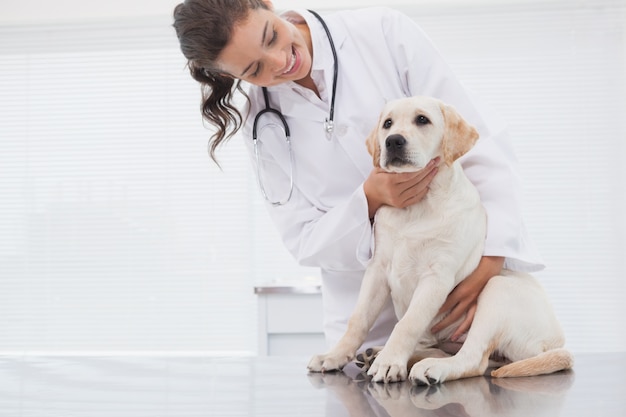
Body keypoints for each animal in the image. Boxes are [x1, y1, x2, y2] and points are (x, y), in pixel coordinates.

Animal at [308, 95, 572, 384]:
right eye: (388, 123)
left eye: (422, 119)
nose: (393, 141)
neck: (416, 208)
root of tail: (555, 344)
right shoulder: (377, 270)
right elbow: (358, 320)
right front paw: (334, 355)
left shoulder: (436, 277)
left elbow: (408, 323)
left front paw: (389, 363)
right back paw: (378, 353)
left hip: (497, 290)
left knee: (473, 360)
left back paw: (426, 367)